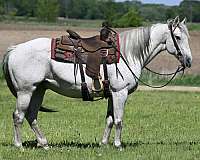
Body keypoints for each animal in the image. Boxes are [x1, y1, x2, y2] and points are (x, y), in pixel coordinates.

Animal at [1, 17, 192, 149]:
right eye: (177, 37)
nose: (189, 61)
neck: (128, 54)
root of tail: (15, 49)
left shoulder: (112, 94)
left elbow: (109, 119)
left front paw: (104, 144)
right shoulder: (120, 92)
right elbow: (119, 120)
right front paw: (118, 145)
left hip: (39, 89)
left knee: (31, 116)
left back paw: (44, 144)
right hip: (25, 91)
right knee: (18, 116)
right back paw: (19, 146)